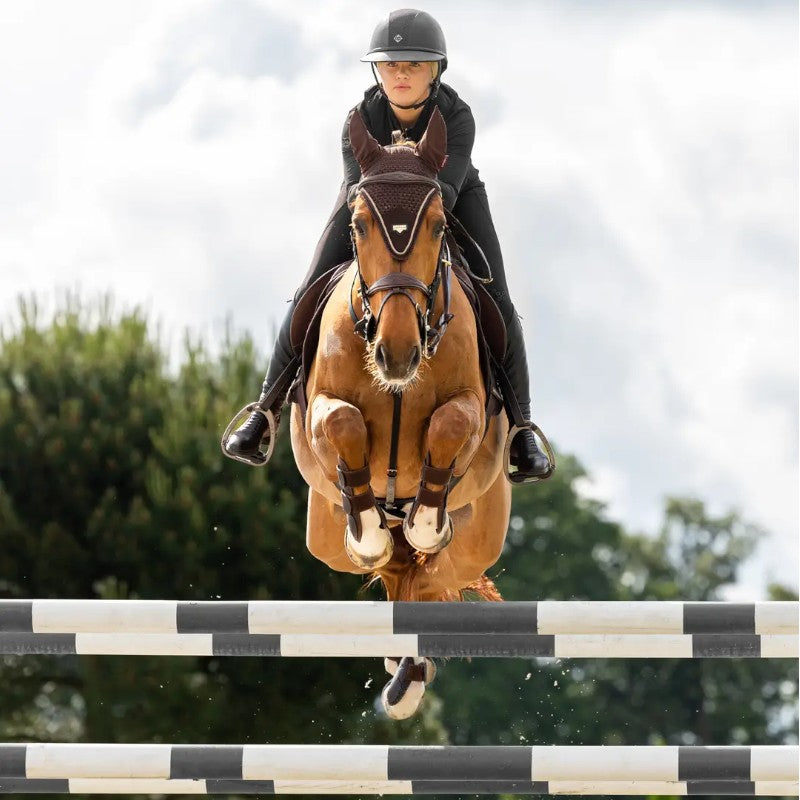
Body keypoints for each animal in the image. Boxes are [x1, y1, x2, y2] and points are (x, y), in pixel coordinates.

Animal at [289, 107, 511, 717]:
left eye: (437, 225)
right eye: (360, 224)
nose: (398, 354)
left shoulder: (473, 412)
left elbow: (450, 422)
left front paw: (426, 519)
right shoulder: (320, 411)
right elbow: (341, 423)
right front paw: (368, 527)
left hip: (480, 539)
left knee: (431, 578)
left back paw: (410, 667)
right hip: (325, 537)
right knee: (390, 568)